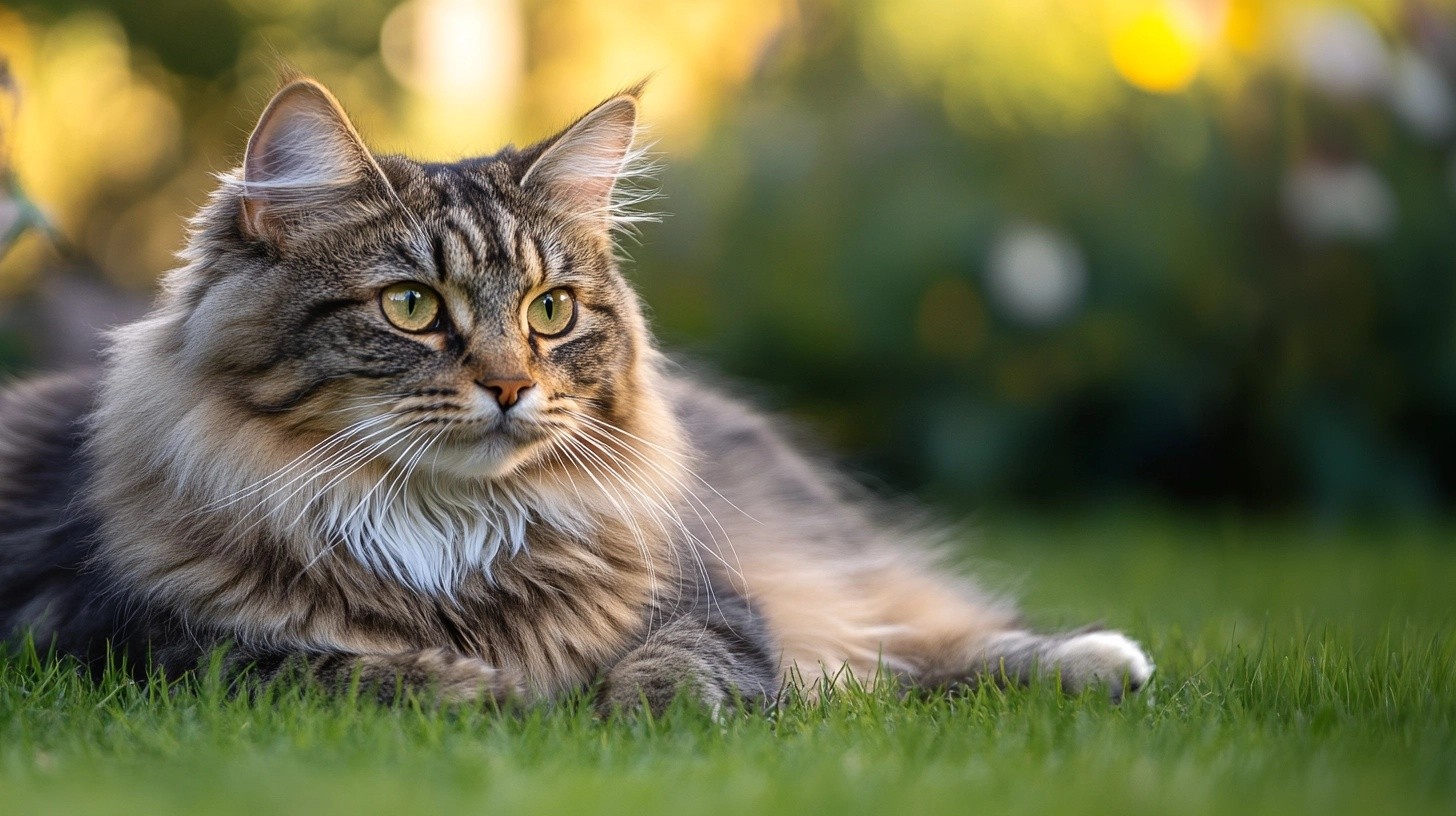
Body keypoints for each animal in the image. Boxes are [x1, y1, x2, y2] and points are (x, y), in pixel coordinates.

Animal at [0, 77, 1147, 714]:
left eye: (550, 311)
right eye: (412, 306)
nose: (511, 384)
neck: (443, 530)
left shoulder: (714, 601)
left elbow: (692, 660)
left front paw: (641, 711)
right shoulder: (147, 649)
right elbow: (340, 670)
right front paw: (489, 695)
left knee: (917, 640)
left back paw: (1107, 660)